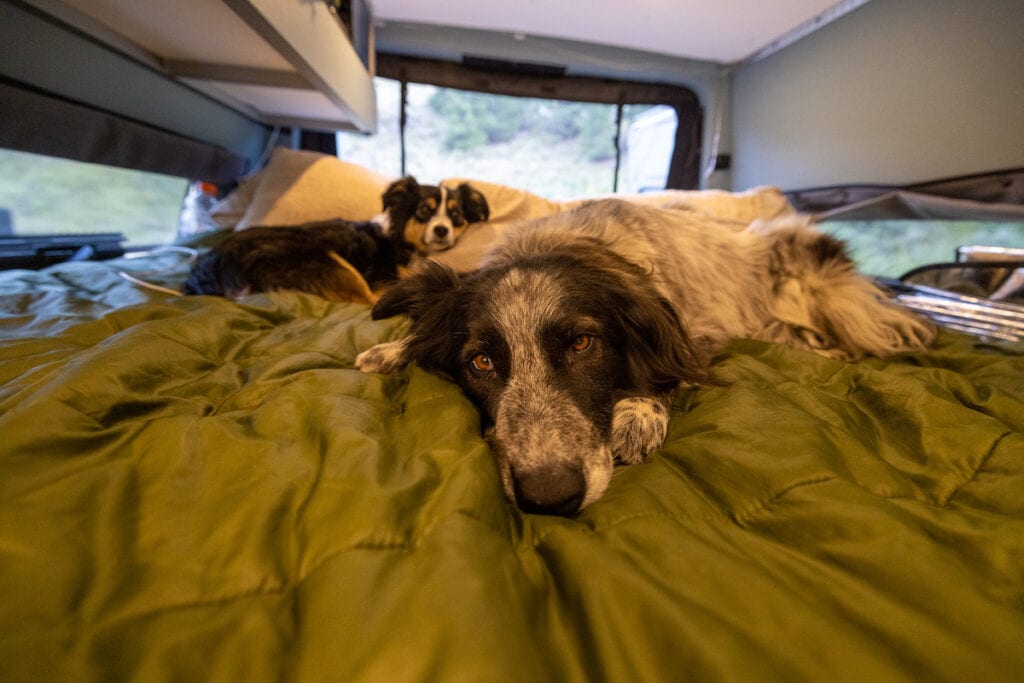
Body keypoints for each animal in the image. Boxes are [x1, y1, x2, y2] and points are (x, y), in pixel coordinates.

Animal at [354, 200, 937, 516]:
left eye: (582, 343)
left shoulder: (693, 335)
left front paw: (638, 415)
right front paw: (390, 350)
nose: (550, 497)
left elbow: (667, 374)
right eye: (481, 362)